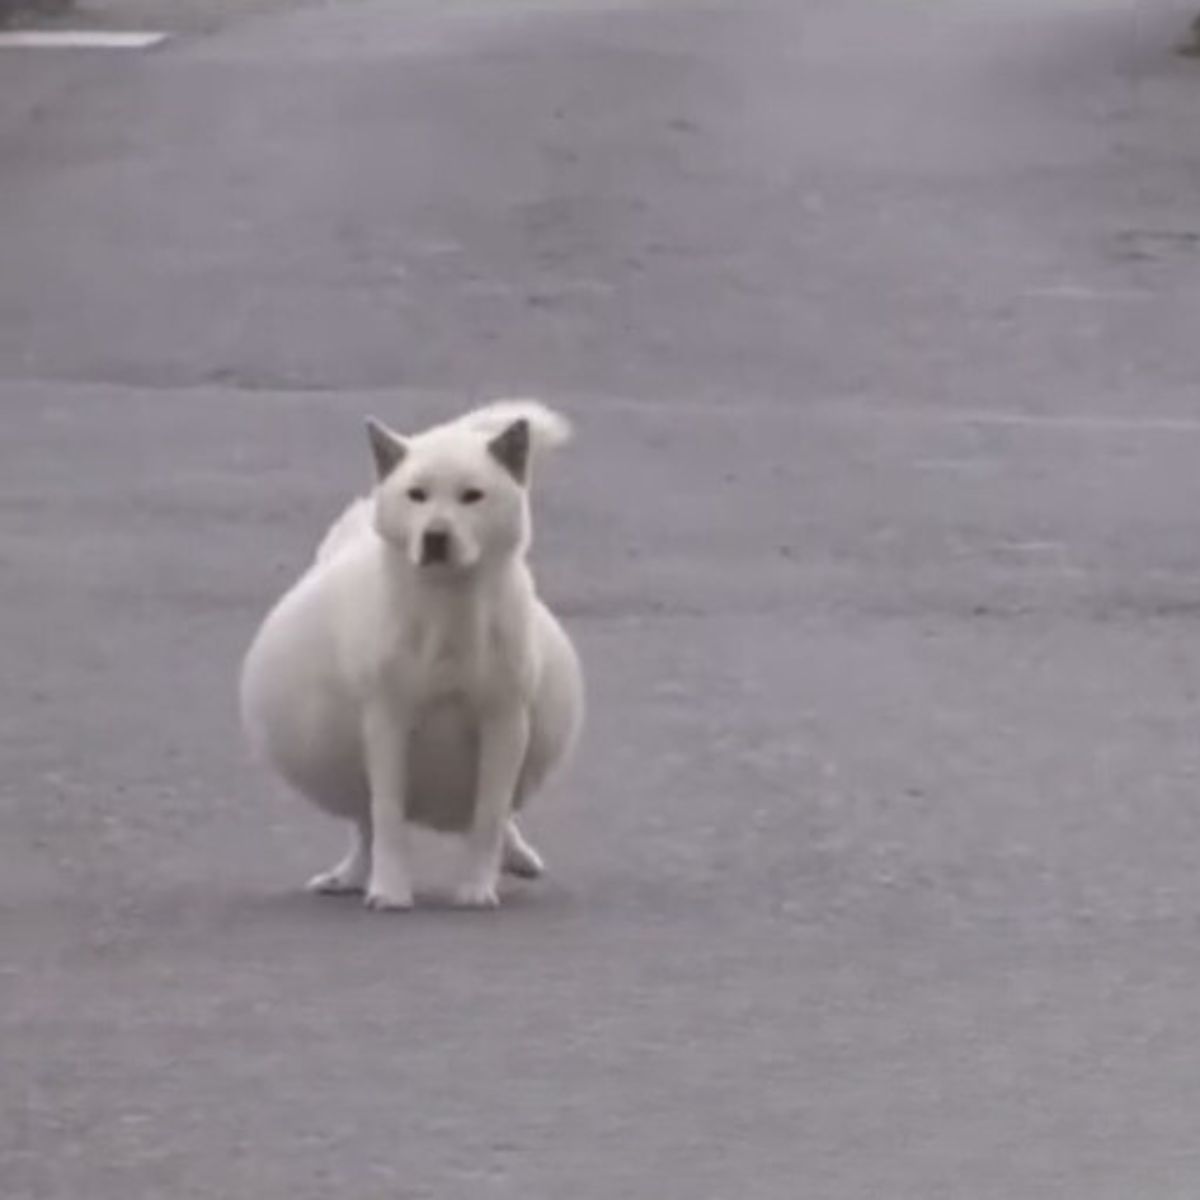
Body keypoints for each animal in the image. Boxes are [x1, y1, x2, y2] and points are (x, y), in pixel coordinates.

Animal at [236, 400, 583, 907]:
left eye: (472, 496)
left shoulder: (504, 721)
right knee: (364, 822)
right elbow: (386, 815)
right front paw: (390, 891)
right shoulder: (387, 719)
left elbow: (490, 812)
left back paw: (516, 855)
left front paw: (477, 888)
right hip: (341, 747)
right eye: (416, 495)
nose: (435, 536)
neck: (447, 611)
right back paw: (351, 876)